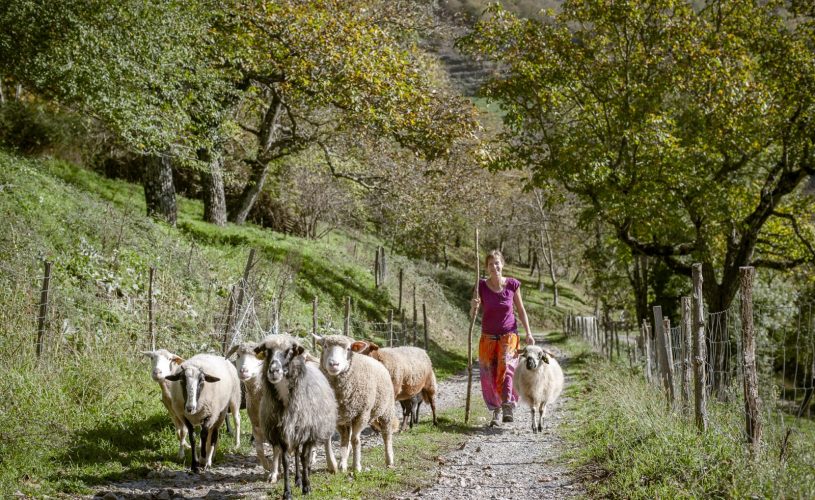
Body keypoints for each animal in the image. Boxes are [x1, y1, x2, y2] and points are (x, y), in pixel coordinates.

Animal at [314, 334, 400, 470]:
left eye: (348, 349)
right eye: (325, 346)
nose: (334, 364)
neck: (340, 395)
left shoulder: (362, 414)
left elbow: (355, 440)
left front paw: (356, 466)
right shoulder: (335, 416)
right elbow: (333, 439)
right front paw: (334, 465)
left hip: (386, 409)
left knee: (386, 434)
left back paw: (389, 460)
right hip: (347, 417)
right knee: (346, 438)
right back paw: (342, 463)